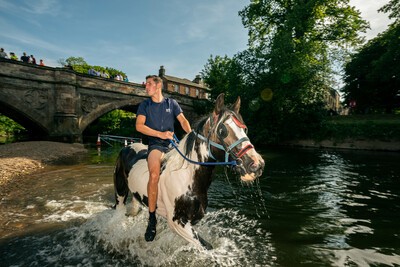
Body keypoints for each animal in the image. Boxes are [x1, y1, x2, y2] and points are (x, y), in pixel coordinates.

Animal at [112, 93, 264, 250]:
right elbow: (206, 246)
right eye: (222, 131)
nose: (256, 164)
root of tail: (127, 147)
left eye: (244, 129)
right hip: (120, 193)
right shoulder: (178, 223)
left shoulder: (192, 220)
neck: (186, 178)